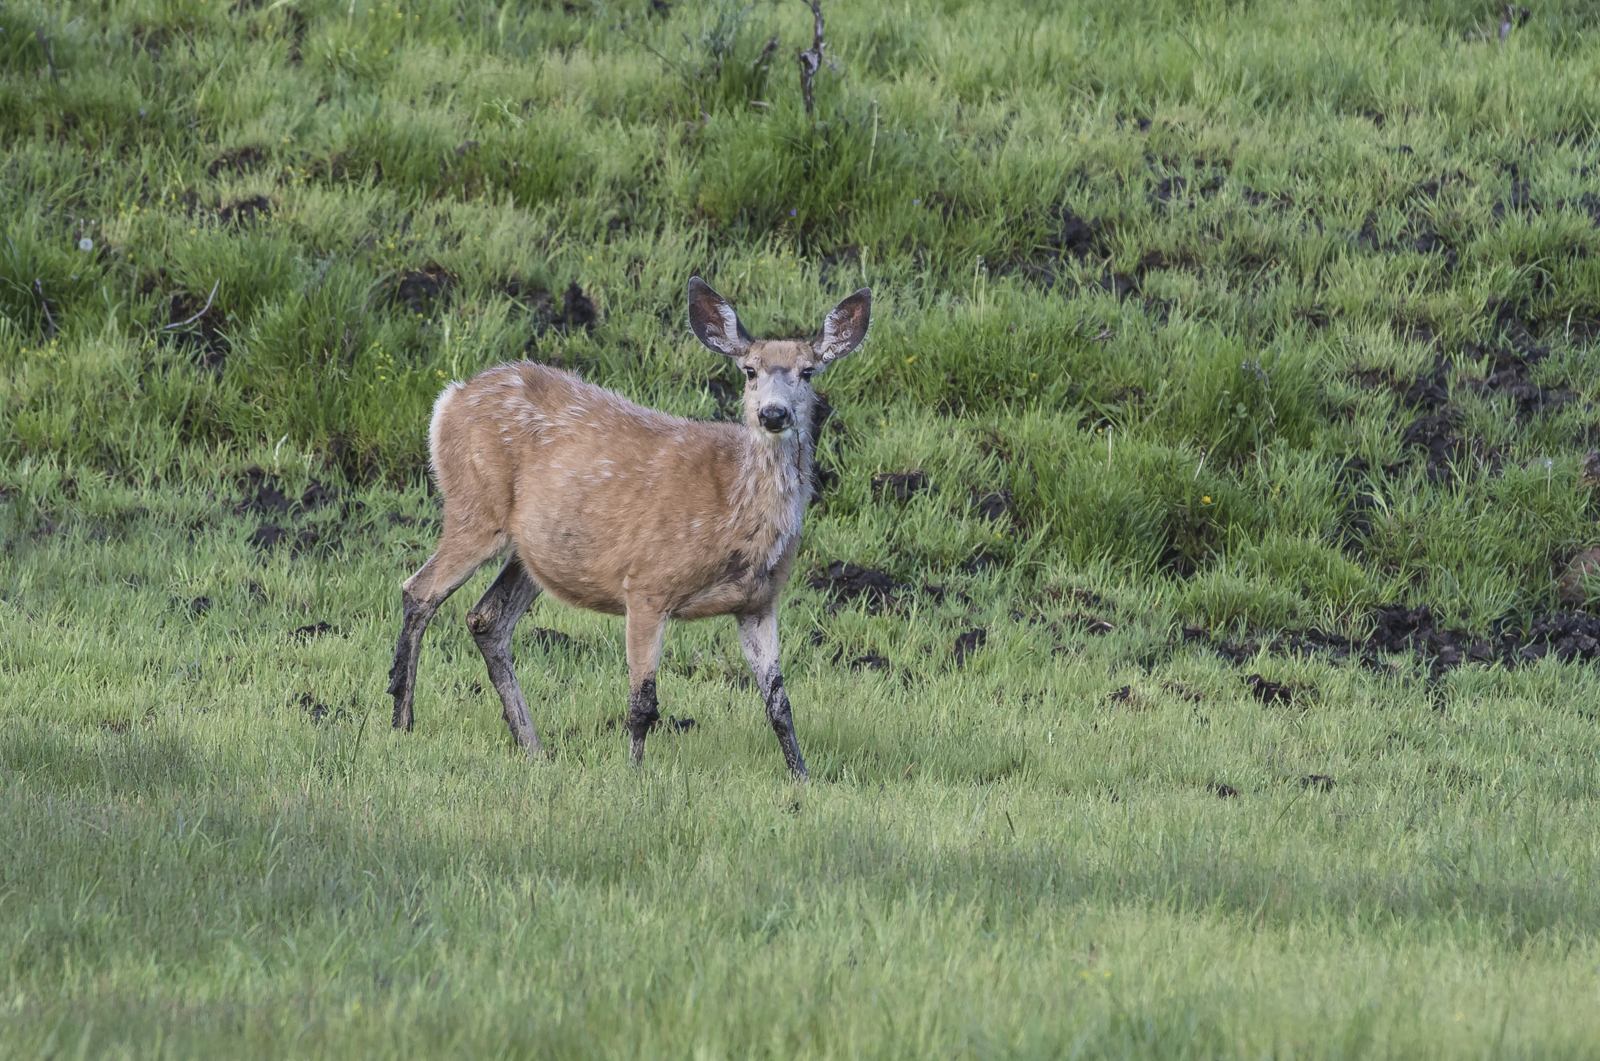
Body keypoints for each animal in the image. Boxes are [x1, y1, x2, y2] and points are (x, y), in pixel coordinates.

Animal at [386, 277, 872, 781]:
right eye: (749, 370)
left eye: (808, 371)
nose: (773, 414)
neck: (734, 514)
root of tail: (448, 399)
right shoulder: (646, 583)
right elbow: (643, 703)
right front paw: (634, 773)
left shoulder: (759, 601)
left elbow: (779, 704)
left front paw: (803, 777)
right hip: (474, 506)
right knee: (419, 590)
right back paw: (403, 720)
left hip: (532, 548)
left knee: (486, 619)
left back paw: (532, 746)